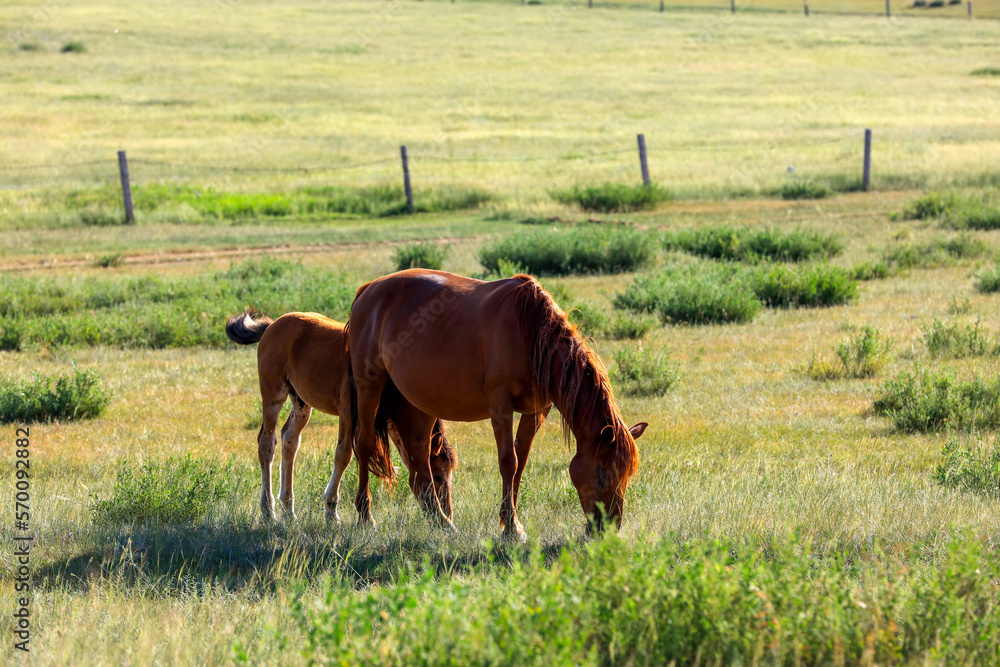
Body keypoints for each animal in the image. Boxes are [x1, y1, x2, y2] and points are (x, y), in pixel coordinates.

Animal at [225, 309, 457, 524]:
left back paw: (288, 510)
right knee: (267, 442)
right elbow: (343, 454)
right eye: (437, 476)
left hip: (301, 402)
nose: (448, 512)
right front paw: (332, 513)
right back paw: (268, 511)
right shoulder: (348, 411)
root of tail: (273, 325)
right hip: (273, 393)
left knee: (289, 439)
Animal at [344, 269, 646, 539]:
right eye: (603, 474)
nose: (608, 528)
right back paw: (365, 517)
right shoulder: (500, 406)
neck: (528, 332)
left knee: (419, 461)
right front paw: (512, 528)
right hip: (370, 388)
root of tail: (367, 290)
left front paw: (510, 521)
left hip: (419, 403)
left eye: (626, 476)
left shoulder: (537, 410)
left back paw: (442, 523)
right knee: (364, 443)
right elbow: (508, 462)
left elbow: (521, 462)